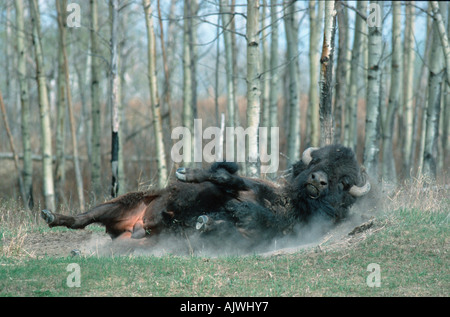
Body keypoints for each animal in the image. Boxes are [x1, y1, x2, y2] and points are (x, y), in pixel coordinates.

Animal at [41, 144, 372, 252]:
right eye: (317, 162)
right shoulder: (245, 187)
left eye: (344, 182)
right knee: (83, 218)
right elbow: (227, 177)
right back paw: (51, 216)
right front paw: (186, 174)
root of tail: (137, 228)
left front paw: (206, 222)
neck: (290, 204)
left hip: (134, 242)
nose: (318, 181)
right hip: (125, 202)